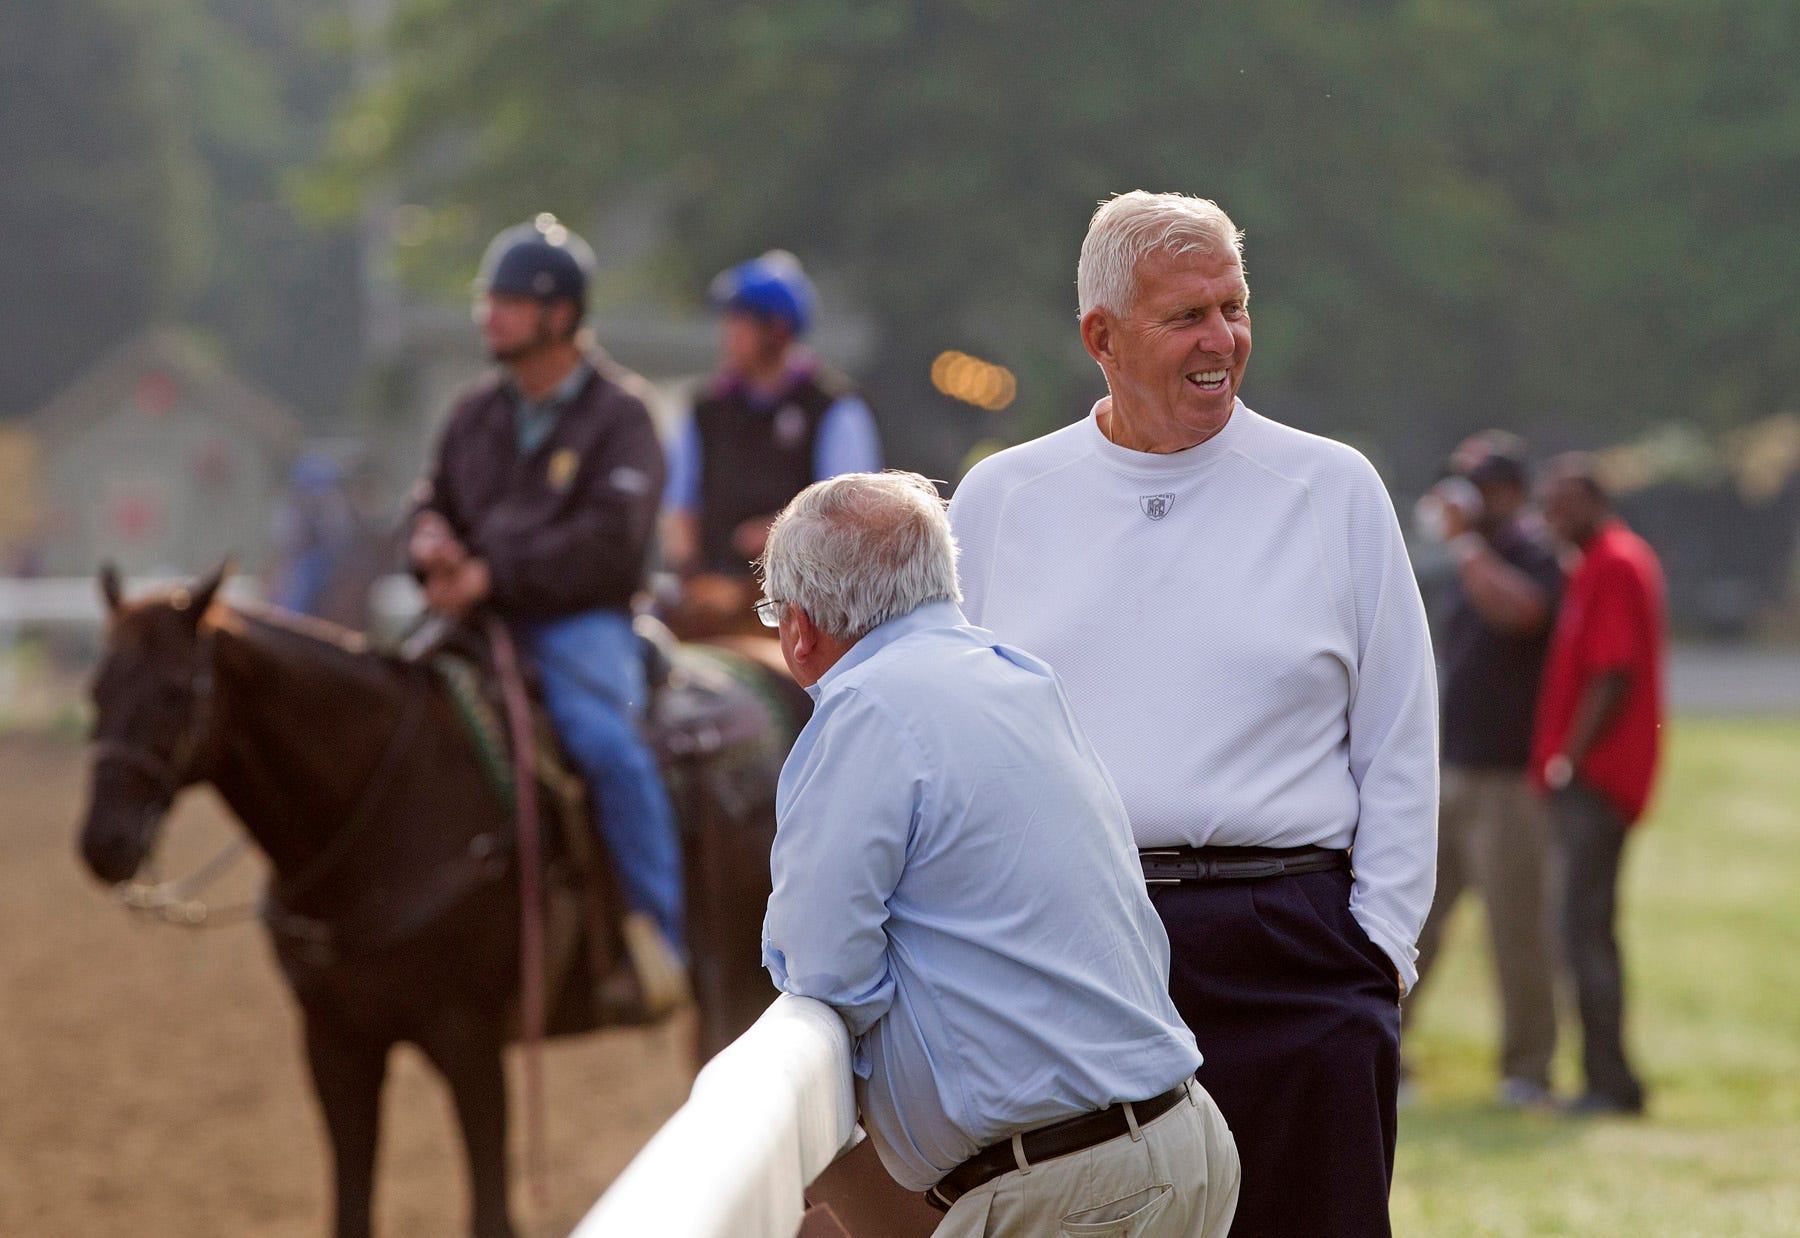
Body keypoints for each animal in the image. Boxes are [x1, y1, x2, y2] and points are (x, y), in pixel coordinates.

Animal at [72, 568, 802, 1238]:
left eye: (175, 691)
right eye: (96, 690)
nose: (103, 842)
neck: (388, 805)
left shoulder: (468, 1041)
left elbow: (490, 1212)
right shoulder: (334, 1042)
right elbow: (352, 1209)